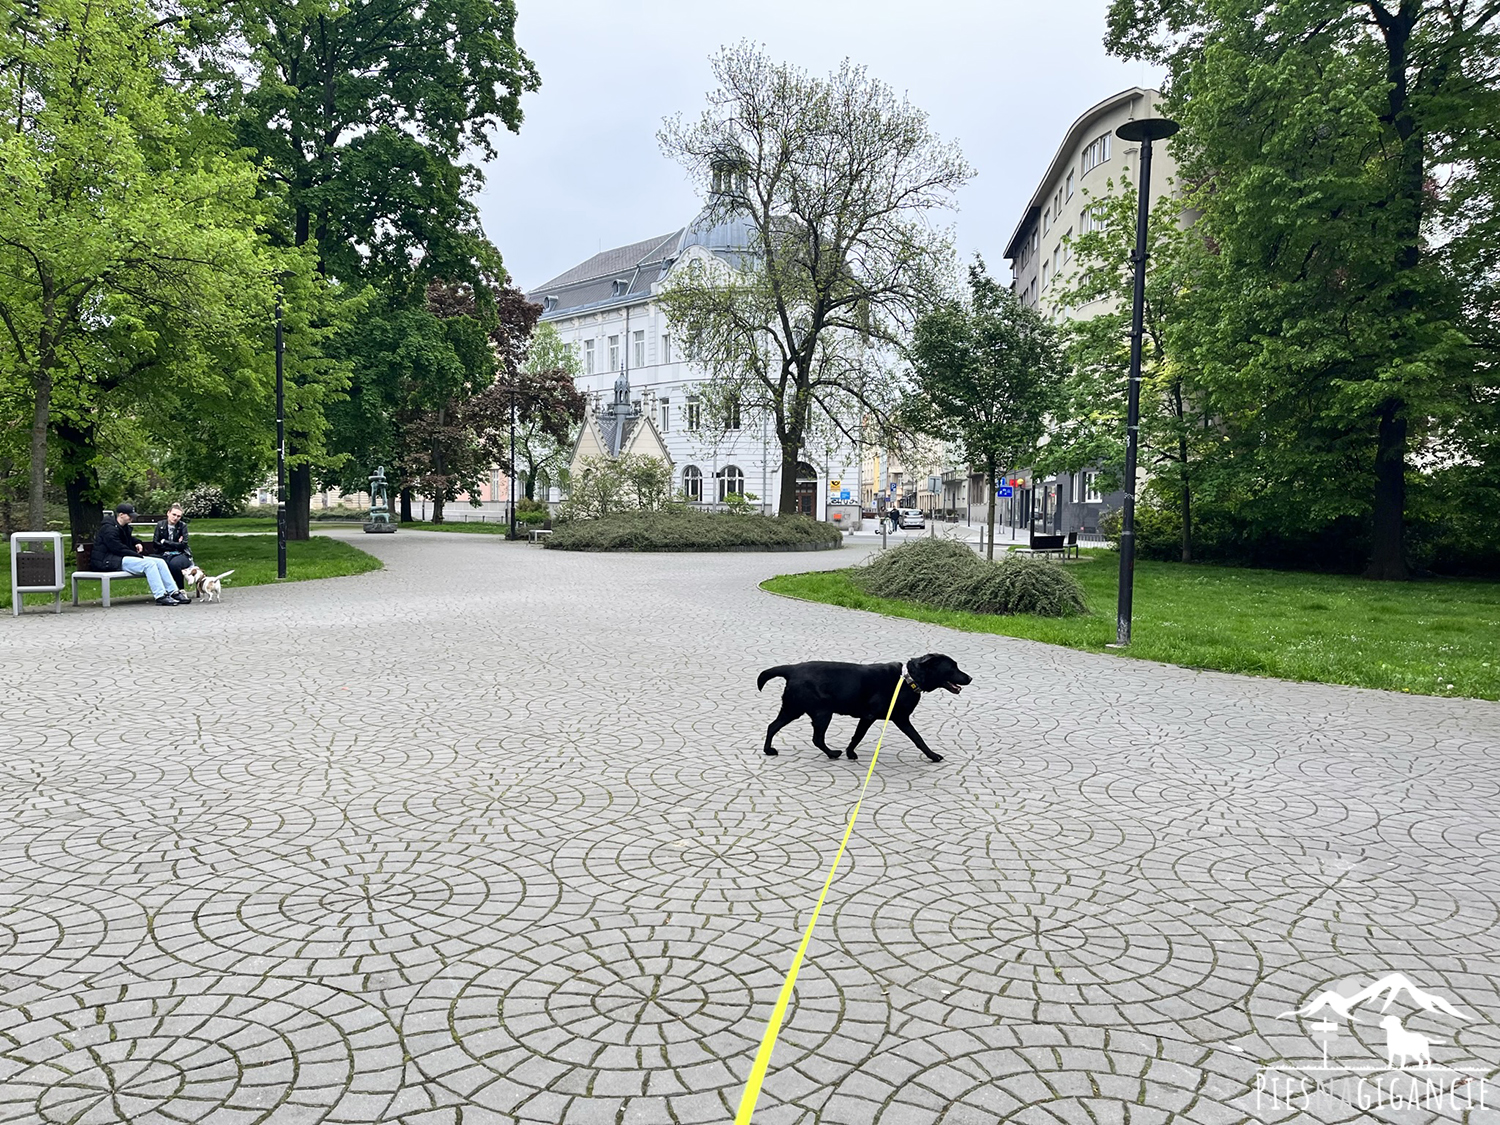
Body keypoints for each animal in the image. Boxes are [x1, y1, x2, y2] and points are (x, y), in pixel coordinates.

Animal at [762, 651, 972, 768]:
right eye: (952, 667)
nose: (970, 678)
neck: (909, 679)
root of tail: (792, 669)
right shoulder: (872, 716)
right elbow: (858, 736)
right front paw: (850, 753)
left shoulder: (901, 718)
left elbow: (918, 739)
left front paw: (932, 755)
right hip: (818, 713)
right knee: (816, 738)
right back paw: (833, 753)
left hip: (794, 709)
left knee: (773, 726)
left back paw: (768, 750)